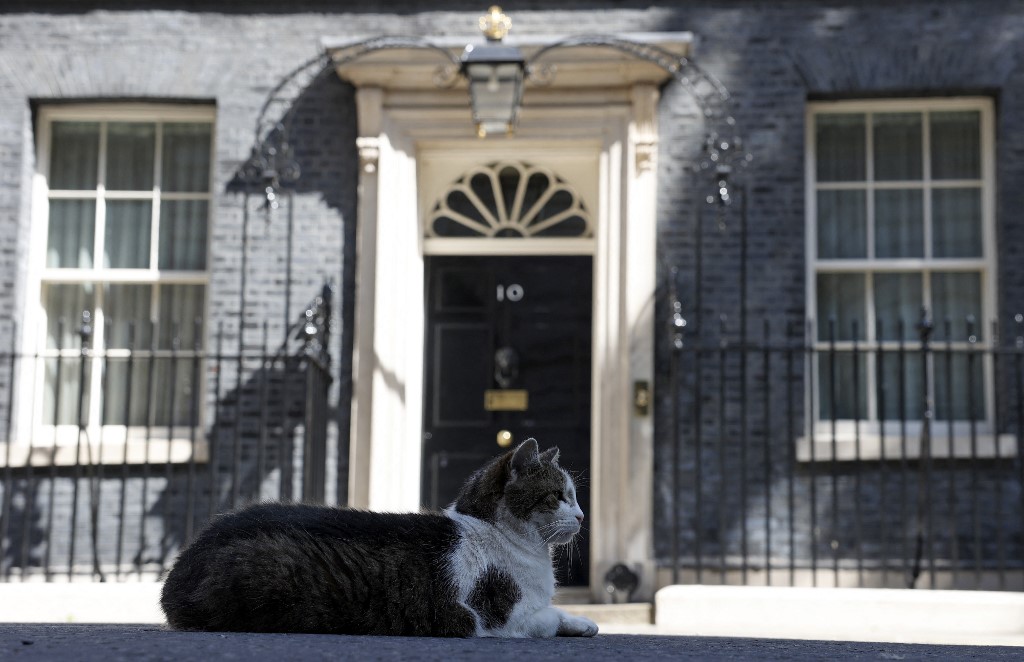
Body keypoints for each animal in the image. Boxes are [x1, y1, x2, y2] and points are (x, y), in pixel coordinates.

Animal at [159, 438, 598, 639]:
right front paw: (579, 622)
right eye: (558, 496)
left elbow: (559, 614)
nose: (581, 515)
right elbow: (548, 616)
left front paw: (583, 624)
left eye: (573, 497)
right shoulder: (500, 618)